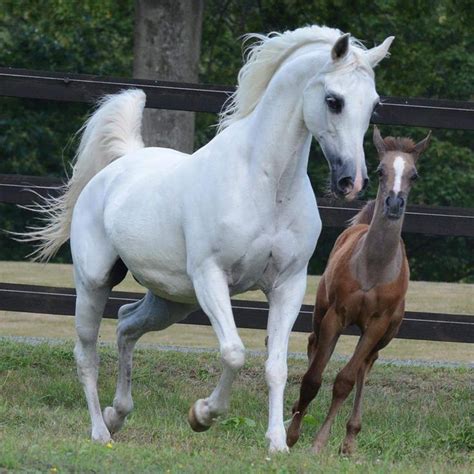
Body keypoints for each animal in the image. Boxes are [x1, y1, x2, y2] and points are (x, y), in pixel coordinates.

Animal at [23, 25, 392, 452]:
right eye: (334, 101)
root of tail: (119, 166)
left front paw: (277, 443)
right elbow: (233, 353)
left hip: (172, 300)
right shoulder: (210, 276)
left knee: (126, 325)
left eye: (373, 105)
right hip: (94, 283)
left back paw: (119, 414)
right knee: (86, 353)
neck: (265, 184)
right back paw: (101, 431)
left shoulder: (288, 284)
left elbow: (277, 366)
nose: (352, 182)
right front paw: (201, 415)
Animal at [286, 127, 432, 456]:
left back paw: (351, 437)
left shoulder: (377, 325)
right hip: (321, 309)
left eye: (414, 174)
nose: (394, 204)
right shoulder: (337, 315)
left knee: (367, 365)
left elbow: (346, 379)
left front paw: (321, 442)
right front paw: (291, 434)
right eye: (380, 171)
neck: (373, 267)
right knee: (314, 343)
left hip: (387, 333)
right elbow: (313, 378)